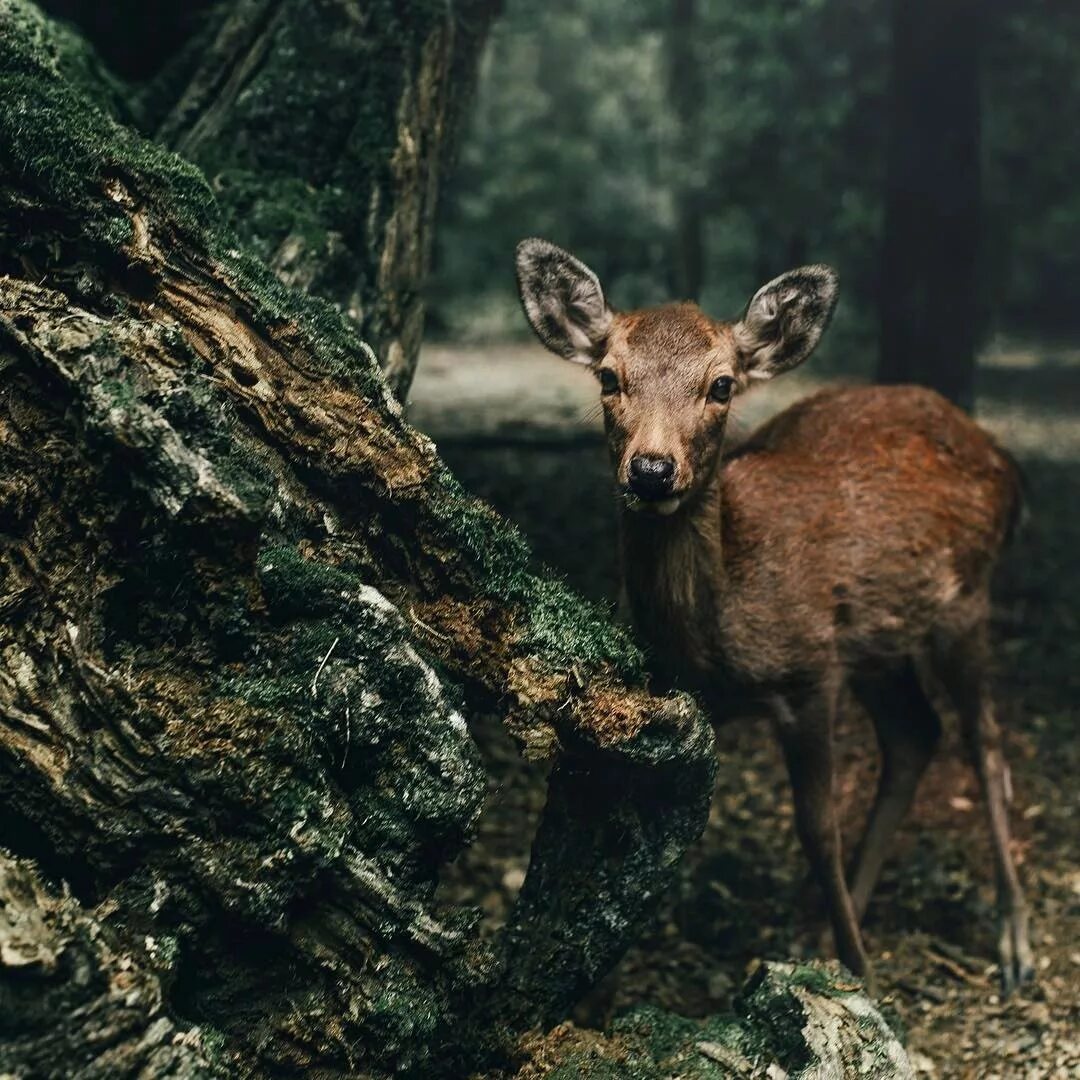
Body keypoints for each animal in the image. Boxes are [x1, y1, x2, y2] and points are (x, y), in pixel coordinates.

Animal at [514, 236, 1036, 993]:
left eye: (722, 384)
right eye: (609, 376)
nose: (651, 470)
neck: (720, 634)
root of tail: (1001, 456)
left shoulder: (809, 673)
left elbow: (817, 829)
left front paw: (864, 977)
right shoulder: (681, 698)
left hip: (967, 596)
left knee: (984, 740)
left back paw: (1013, 942)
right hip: (875, 642)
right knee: (916, 734)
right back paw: (831, 924)